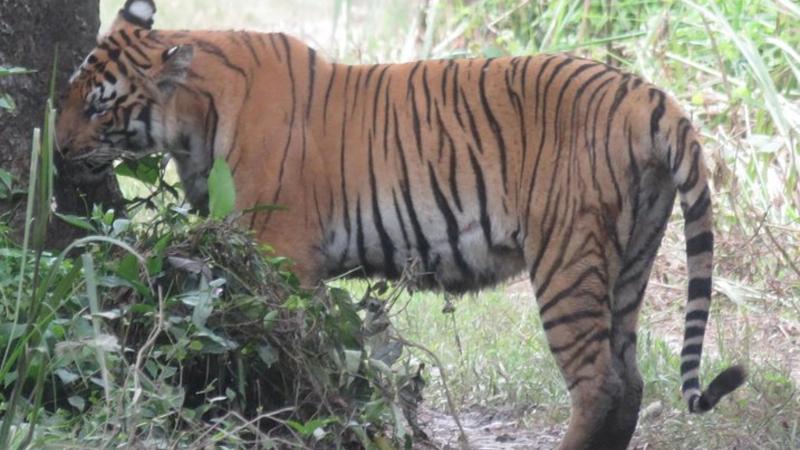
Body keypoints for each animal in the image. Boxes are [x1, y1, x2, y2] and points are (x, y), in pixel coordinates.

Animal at [55, 1, 746, 448]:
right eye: (68, 95)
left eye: (99, 107)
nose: (56, 150)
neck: (191, 121)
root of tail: (648, 94)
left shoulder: (281, 253)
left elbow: (292, 345)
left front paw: (305, 412)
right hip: (631, 257)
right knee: (629, 381)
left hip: (567, 256)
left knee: (600, 383)